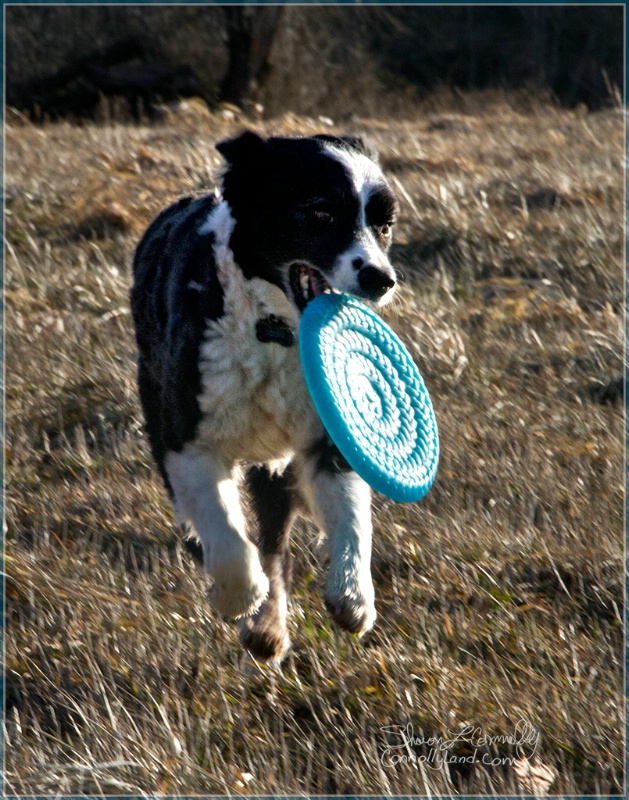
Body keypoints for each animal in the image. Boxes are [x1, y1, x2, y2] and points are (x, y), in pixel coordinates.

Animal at [131, 131, 398, 664]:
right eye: (320, 213)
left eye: (384, 224)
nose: (381, 278)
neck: (273, 331)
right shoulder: (185, 439)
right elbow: (225, 530)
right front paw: (238, 595)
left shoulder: (328, 433)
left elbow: (353, 517)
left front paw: (353, 596)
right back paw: (256, 618)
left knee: (275, 540)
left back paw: (268, 626)